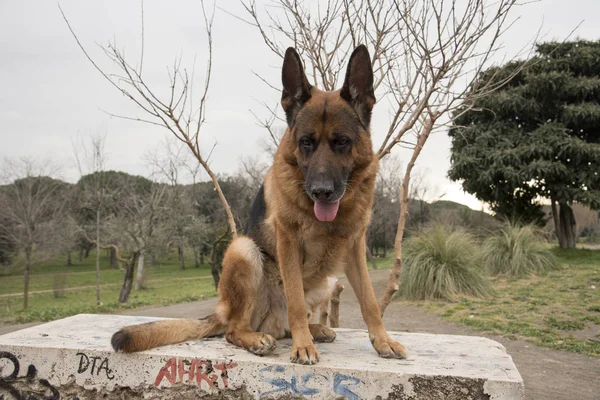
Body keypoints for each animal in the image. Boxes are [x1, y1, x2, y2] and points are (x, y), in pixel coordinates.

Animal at [111, 45, 408, 364]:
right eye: (306, 142)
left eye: (342, 142)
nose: (321, 192)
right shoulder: (288, 242)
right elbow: (295, 299)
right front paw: (303, 347)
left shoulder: (355, 246)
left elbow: (370, 301)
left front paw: (382, 341)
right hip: (244, 251)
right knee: (236, 330)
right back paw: (260, 339)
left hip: (328, 281)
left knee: (290, 321)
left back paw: (314, 329)